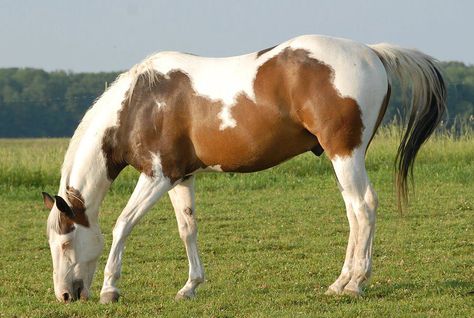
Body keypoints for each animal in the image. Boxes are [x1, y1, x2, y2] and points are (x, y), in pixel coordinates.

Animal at [42, 34, 446, 304]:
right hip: (344, 159)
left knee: (363, 207)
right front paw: (190, 286)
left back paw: (352, 283)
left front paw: (110, 288)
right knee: (354, 211)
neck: (141, 104)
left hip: (345, 155)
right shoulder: (181, 177)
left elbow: (123, 224)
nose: (65, 295)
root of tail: (371, 52)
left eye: (64, 242)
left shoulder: (158, 175)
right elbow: (187, 229)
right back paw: (344, 280)